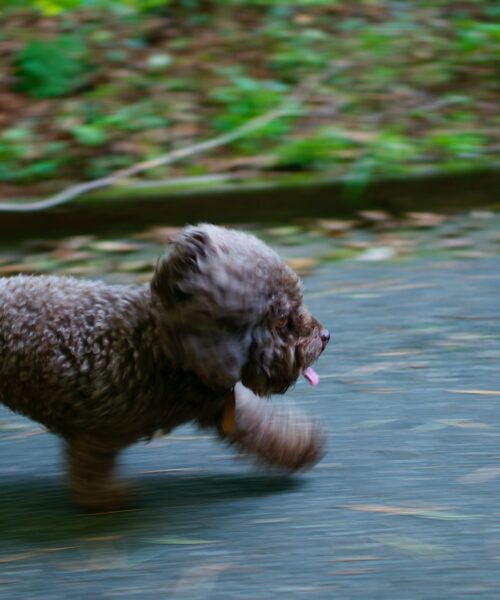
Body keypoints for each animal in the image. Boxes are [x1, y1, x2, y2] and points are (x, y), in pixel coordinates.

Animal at [0, 225, 330, 510]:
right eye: (282, 320)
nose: (325, 336)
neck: (163, 346)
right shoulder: (95, 432)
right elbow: (89, 473)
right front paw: (107, 499)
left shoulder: (221, 405)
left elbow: (261, 429)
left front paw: (299, 447)